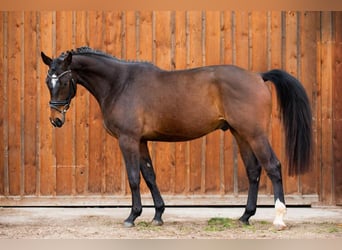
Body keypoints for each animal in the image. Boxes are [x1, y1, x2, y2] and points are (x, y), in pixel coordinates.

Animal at [40, 47, 312, 230]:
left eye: (64, 80)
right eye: (47, 81)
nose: (55, 120)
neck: (121, 84)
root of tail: (258, 76)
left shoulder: (128, 140)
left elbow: (134, 178)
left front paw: (132, 216)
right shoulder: (141, 141)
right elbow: (149, 176)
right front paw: (158, 215)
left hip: (255, 134)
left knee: (273, 166)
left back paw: (279, 218)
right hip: (240, 133)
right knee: (254, 170)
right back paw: (245, 216)